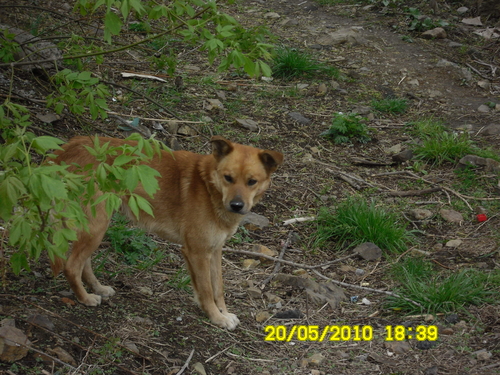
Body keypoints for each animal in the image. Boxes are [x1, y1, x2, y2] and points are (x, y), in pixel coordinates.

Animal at [51, 135, 286, 328]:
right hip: (97, 226)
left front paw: (223, 313)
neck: (209, 186)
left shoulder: (215, 249)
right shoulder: (197, 252)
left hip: (94, 227)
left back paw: (98, 288)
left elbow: (218, 286)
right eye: (228, 178)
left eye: (252, 182)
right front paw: (216, 317)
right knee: (72, 265)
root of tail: (64, 150)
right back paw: (85, 298)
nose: (236, 206)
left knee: (84, 262)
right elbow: (207, 290)